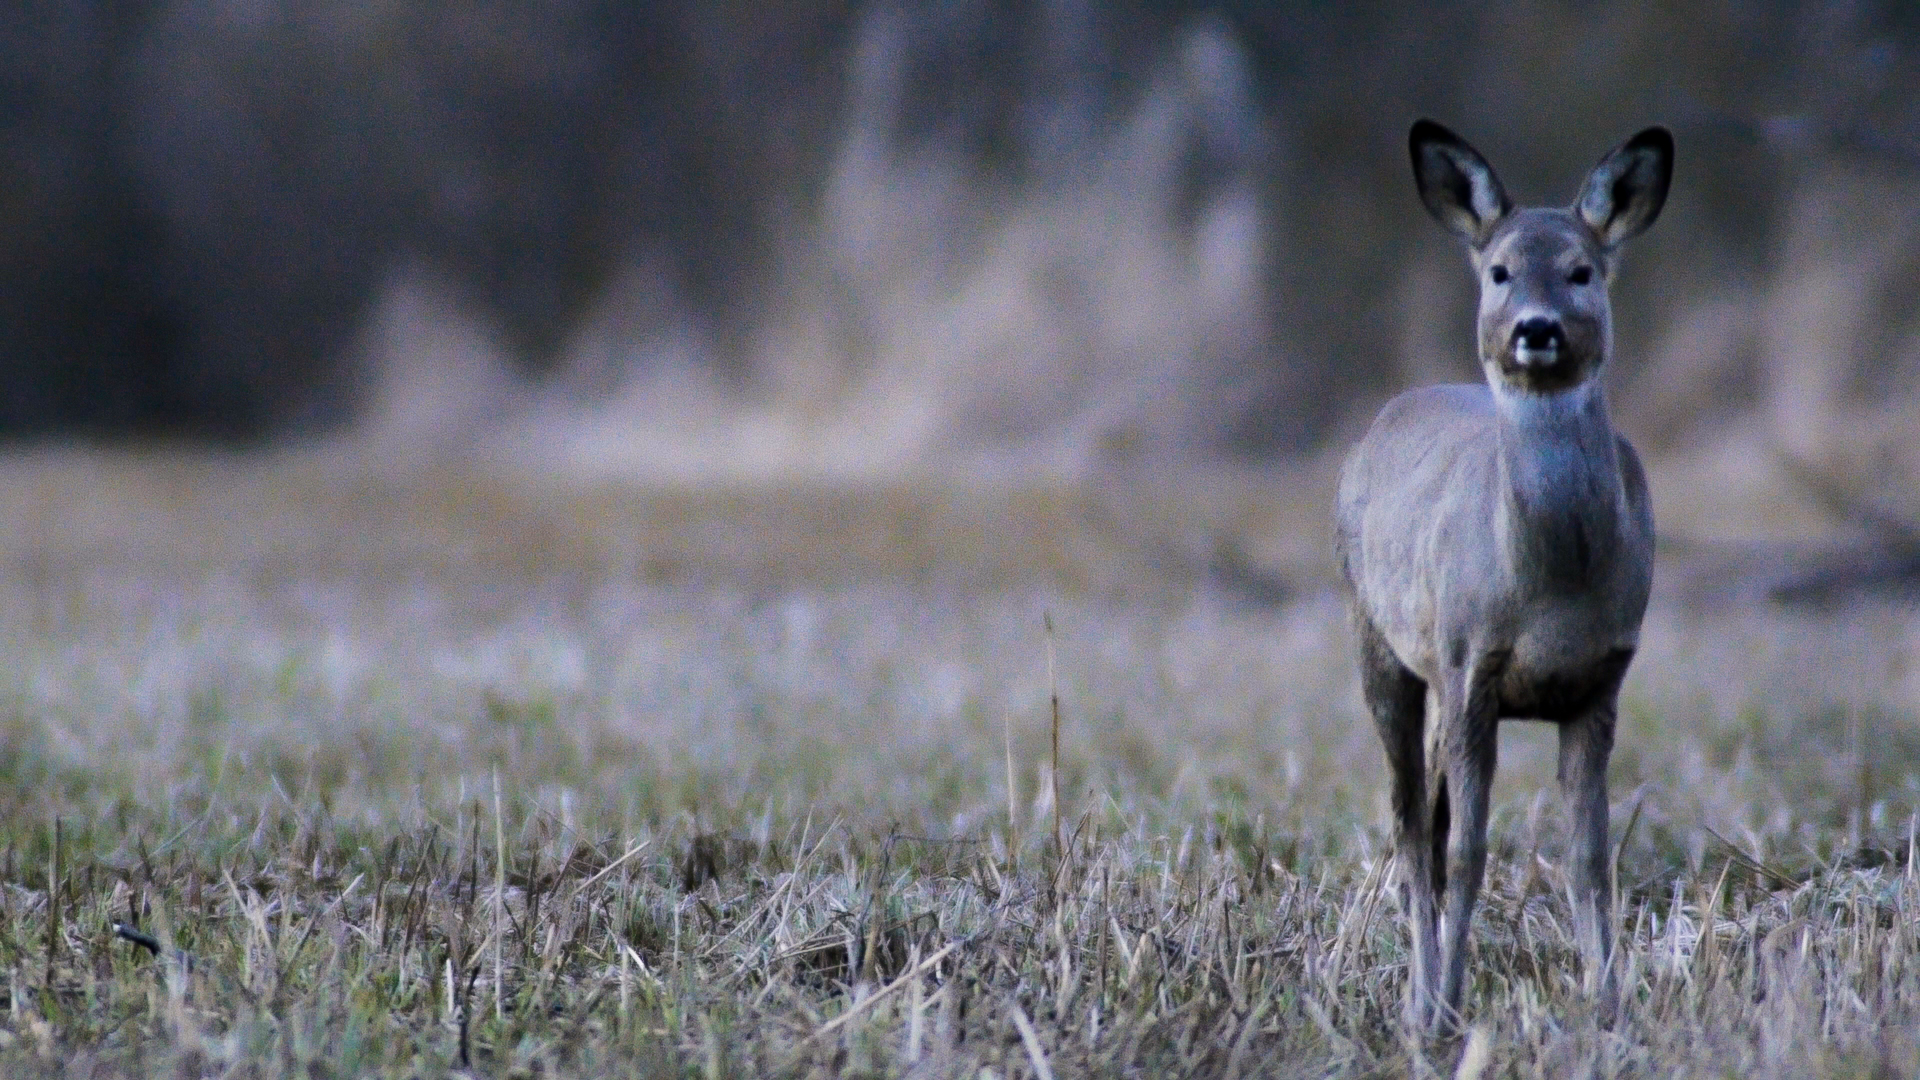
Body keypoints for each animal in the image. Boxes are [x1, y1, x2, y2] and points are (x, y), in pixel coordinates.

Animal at [1336, 117, 1666, 1022]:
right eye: (1499, 271)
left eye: (1582, 270)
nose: (1537, 328)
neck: (1550, 591)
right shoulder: (1469, 664)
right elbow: (1464, 854)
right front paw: (1447, 1009)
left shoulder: (1601, 682)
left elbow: (1590, 858)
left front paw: (1609, 1002)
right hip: (1380, 644)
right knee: (1411, 824)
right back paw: (1420, 1001)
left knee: (1428, 820)